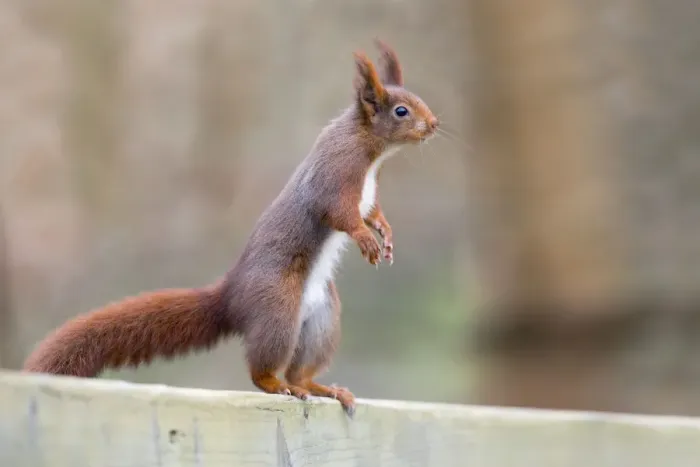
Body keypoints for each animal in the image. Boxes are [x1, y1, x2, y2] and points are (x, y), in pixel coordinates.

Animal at [22, 39, 439, 415]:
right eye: (401, 110)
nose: (434, 125)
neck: (370, 150)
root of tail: (232, 296)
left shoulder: (367, 192)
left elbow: (372, 212)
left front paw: (384, 232)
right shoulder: (336, 175)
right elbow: (340, 214)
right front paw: (366, 239)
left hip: (322, 319)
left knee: (300, 370)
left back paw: (321, 388)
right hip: (278, 308)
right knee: (263, 370)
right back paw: (277, 384)